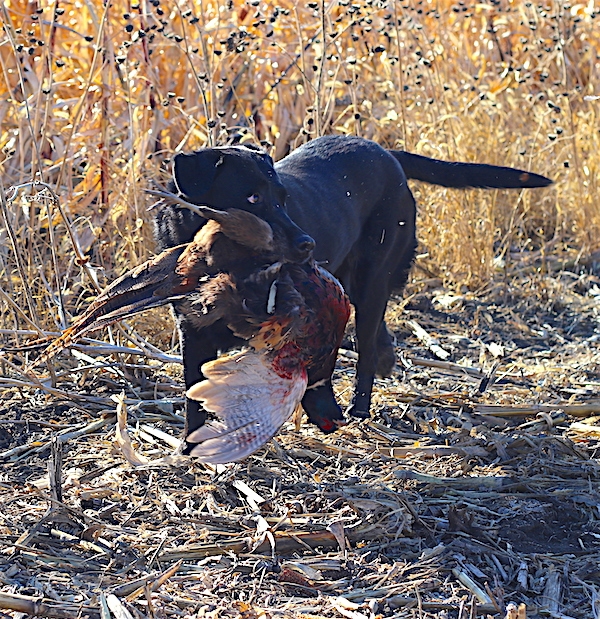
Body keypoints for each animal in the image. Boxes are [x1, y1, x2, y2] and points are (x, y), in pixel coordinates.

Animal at [155, 136, 552, 448]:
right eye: (251, 197)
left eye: (283, 197)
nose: (306, 245)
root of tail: (387, 153)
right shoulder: (192, 330)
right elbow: (193, 391)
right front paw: (190, 446)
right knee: (376, 335)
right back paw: (385, 360)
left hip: (373, 278)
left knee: (366, 348)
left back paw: (360, 407)